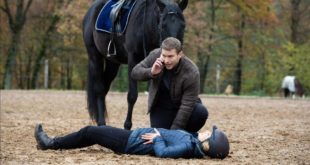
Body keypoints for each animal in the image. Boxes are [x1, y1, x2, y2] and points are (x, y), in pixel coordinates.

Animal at [82, 0, 188, 130]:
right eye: (162, 25)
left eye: (183, 25)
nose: (175, 47)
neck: (146, 25)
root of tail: (91, 11)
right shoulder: (133, 60)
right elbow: (132, 96)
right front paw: (127, 126)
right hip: (95, 58)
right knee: (99, 89)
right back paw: (102, 123)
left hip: (113, 64)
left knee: (105, 87)